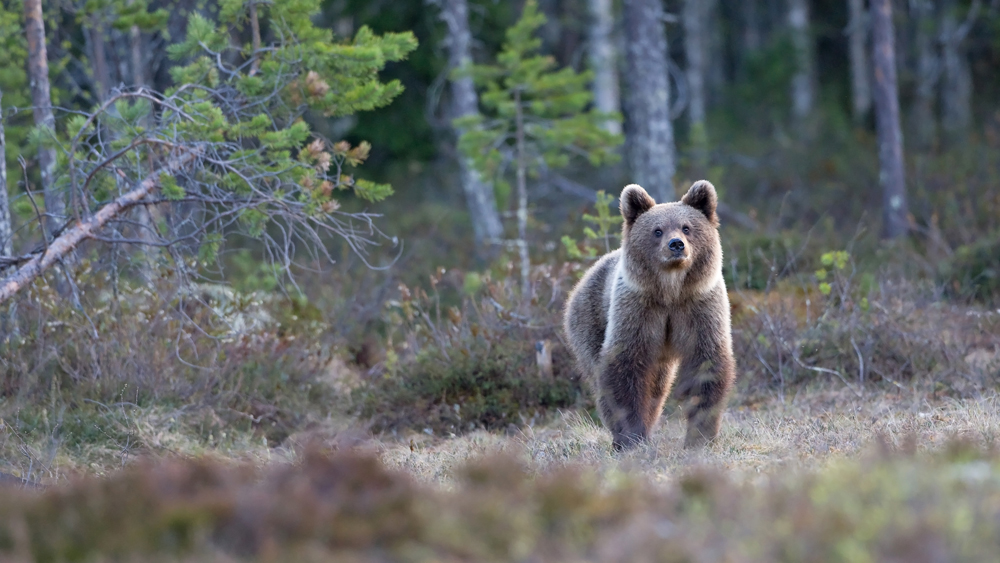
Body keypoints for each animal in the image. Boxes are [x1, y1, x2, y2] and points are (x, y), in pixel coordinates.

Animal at [564, 183, 736, 452]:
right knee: (602, 380)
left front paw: (700, 436)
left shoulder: (699, 306)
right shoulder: (638, 310)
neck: (671, 291)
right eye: (657, 230)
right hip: (589, 320)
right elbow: (624, 367)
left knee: (657, 387)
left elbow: (706, 364)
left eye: (686, 227)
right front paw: (633, 436)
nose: (676, 244)